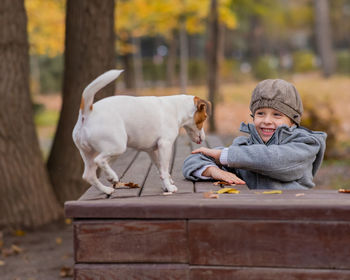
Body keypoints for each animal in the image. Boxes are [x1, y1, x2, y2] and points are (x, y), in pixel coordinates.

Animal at [73, 69, 211, 195]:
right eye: (205, 118)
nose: (204, 138)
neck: (177, 108)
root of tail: (87, 113)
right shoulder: (165, 145)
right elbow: (164, 169)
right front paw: (169, 187)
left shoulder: (152, 150)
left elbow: (160, 169)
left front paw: (166, 185)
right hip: (118, 146)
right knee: (100, 161)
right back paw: (112, 176)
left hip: (91, 153)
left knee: (89, 175)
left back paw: (106, 189)